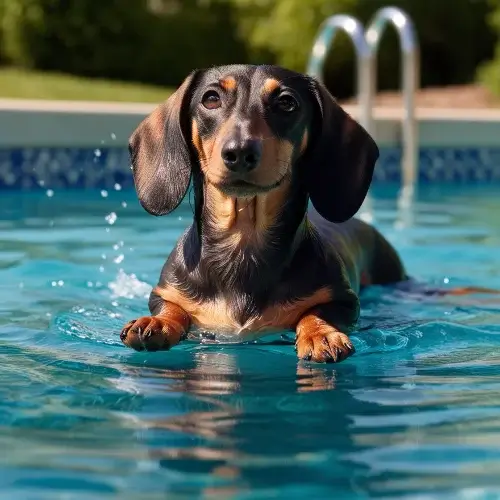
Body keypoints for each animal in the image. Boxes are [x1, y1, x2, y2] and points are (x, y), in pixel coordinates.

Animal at [119, 65, 494, 364]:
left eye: (287, 103)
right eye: (210, 99)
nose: (239, 152)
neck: (243, 244)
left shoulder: (345, 301)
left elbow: (315, 312)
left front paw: (320, 334)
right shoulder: (164, 293)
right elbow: (172, 307)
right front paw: (157, 323)